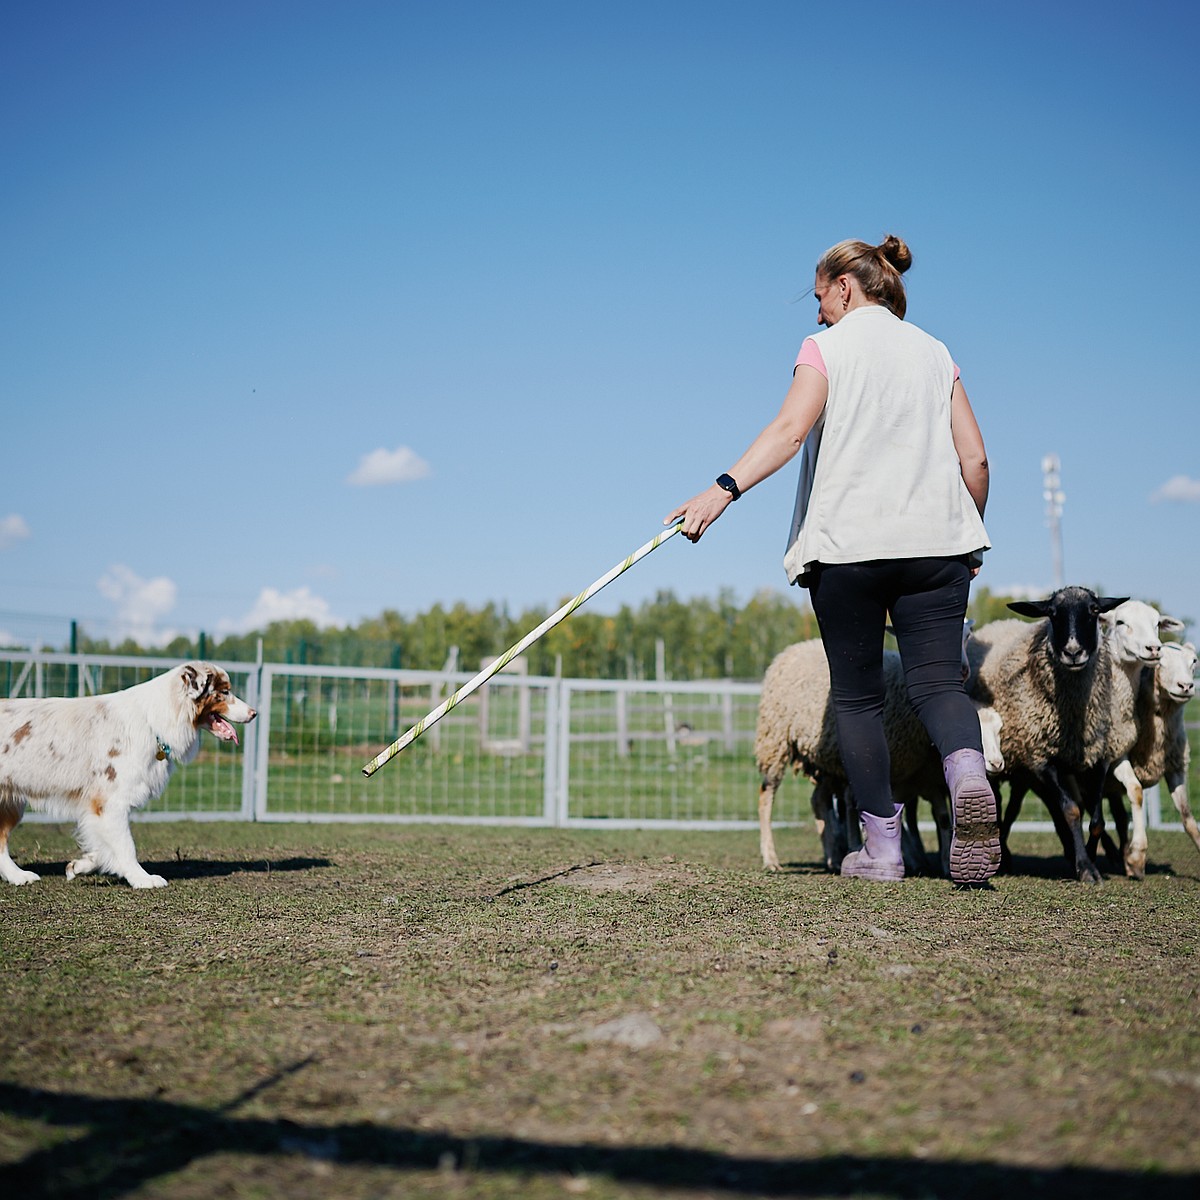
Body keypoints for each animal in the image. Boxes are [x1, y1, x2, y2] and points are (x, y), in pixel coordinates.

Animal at [0, 662, 253, 888]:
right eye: (225, 692)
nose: (254, 713)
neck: (154, 720)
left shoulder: (99, 810)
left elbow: (105, 846)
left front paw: (81, 865)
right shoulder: (111, 802)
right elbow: (126, 846)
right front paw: (142, 878)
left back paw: (18, 876)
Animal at [964, 588, 1132, 883]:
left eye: (1094, 610)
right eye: (1052, 613)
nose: (1073, 652)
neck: (1074, 722)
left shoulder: (1098, 758)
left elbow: (1097, 819)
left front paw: (1090, 857)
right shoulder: (1042, 762)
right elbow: (1071, 810)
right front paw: (1085, 867)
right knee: (1004, 805)